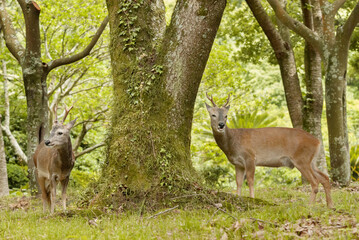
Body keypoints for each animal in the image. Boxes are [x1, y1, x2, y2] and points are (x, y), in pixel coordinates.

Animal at [205, 94, 334, 208]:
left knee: (315, 181)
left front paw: (252, 199)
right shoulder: (238, 164)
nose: (221, 125)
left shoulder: (250, 157)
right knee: (325, 178)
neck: (233, 142)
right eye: (213, 115)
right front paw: (239, 198)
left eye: (226, 115)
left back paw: (310, 205)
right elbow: (239, 182)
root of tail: (317, 141)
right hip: (311, 161)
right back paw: (330, 205)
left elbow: (250, 180)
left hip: (302, 159)